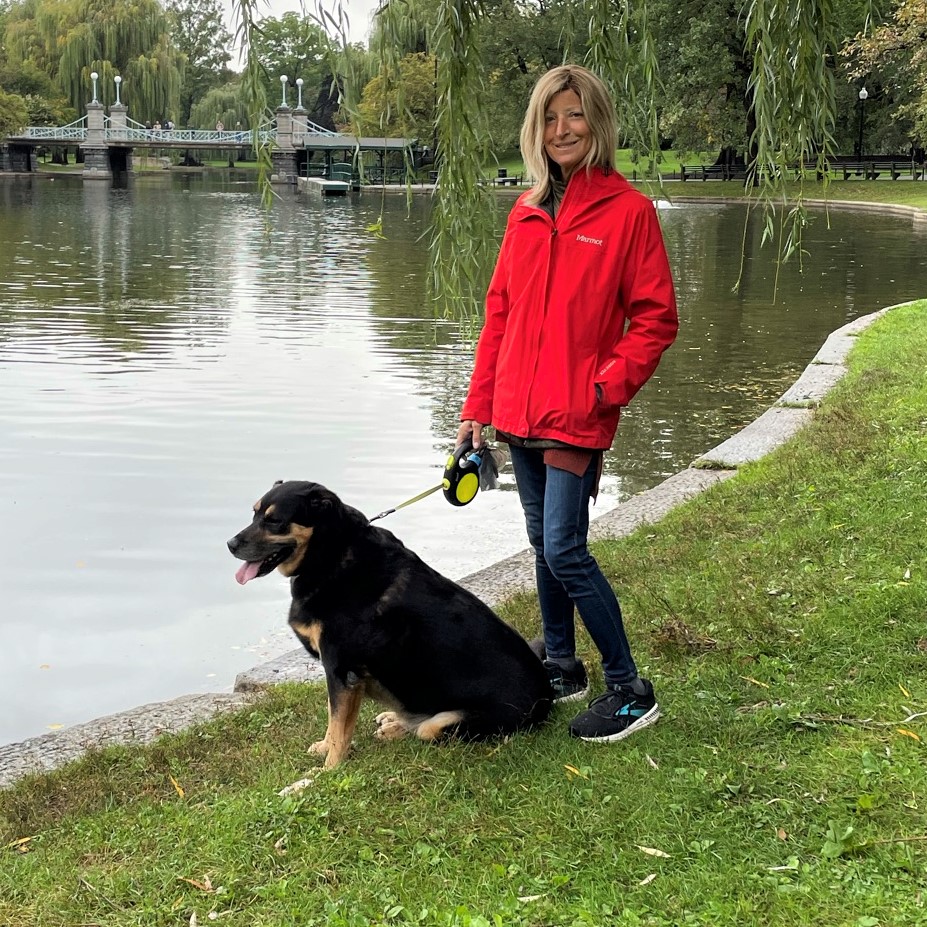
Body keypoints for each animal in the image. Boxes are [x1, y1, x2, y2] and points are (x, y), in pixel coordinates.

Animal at [229, 478, 556, 768]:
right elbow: (332, 719)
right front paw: (323, 749)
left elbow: (339, 727)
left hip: (445, 724)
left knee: (424, 729)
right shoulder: (340, 674)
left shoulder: (342, 670)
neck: (331, 553)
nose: (230, 544)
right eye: (255, 513)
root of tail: (547, 699)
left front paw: (328, 771)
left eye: (275, 521)